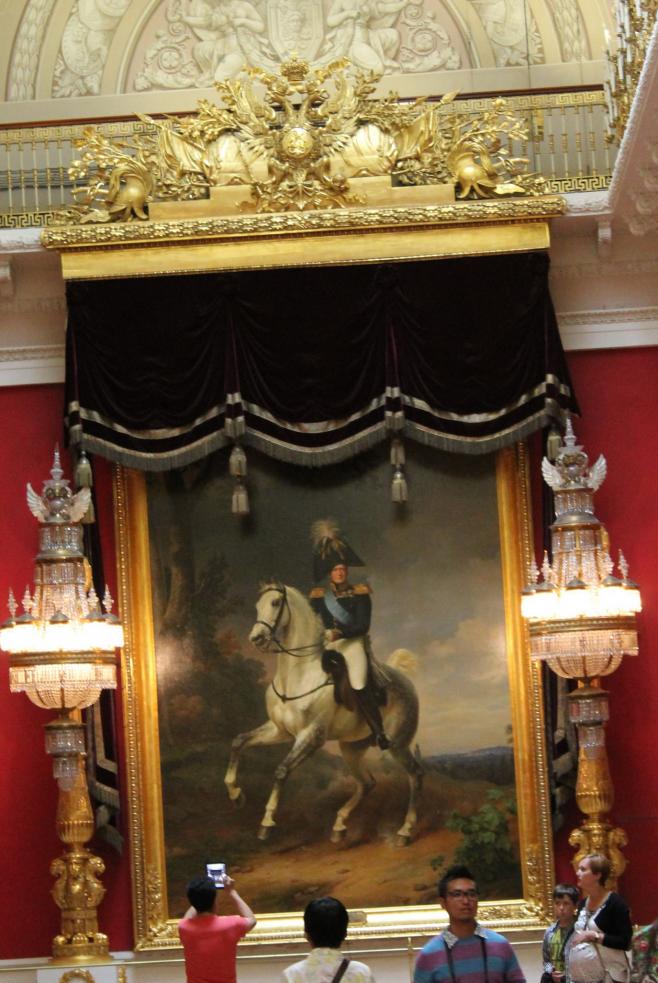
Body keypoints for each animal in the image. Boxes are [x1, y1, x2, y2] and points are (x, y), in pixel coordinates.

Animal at [224, 581, 423, 845]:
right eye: (257, 605)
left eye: (275, 603)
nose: (256, 638)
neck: (298, 675)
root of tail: (405, 681)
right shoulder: (278, 731)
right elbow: (238, 741)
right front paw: (236, 795)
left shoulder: (311, 736)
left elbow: (281, 770)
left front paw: (266, 822)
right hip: (351, 748)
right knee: (367, 783)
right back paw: (339, 824)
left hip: (398, 744)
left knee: (415, 775)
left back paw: (405, 830)